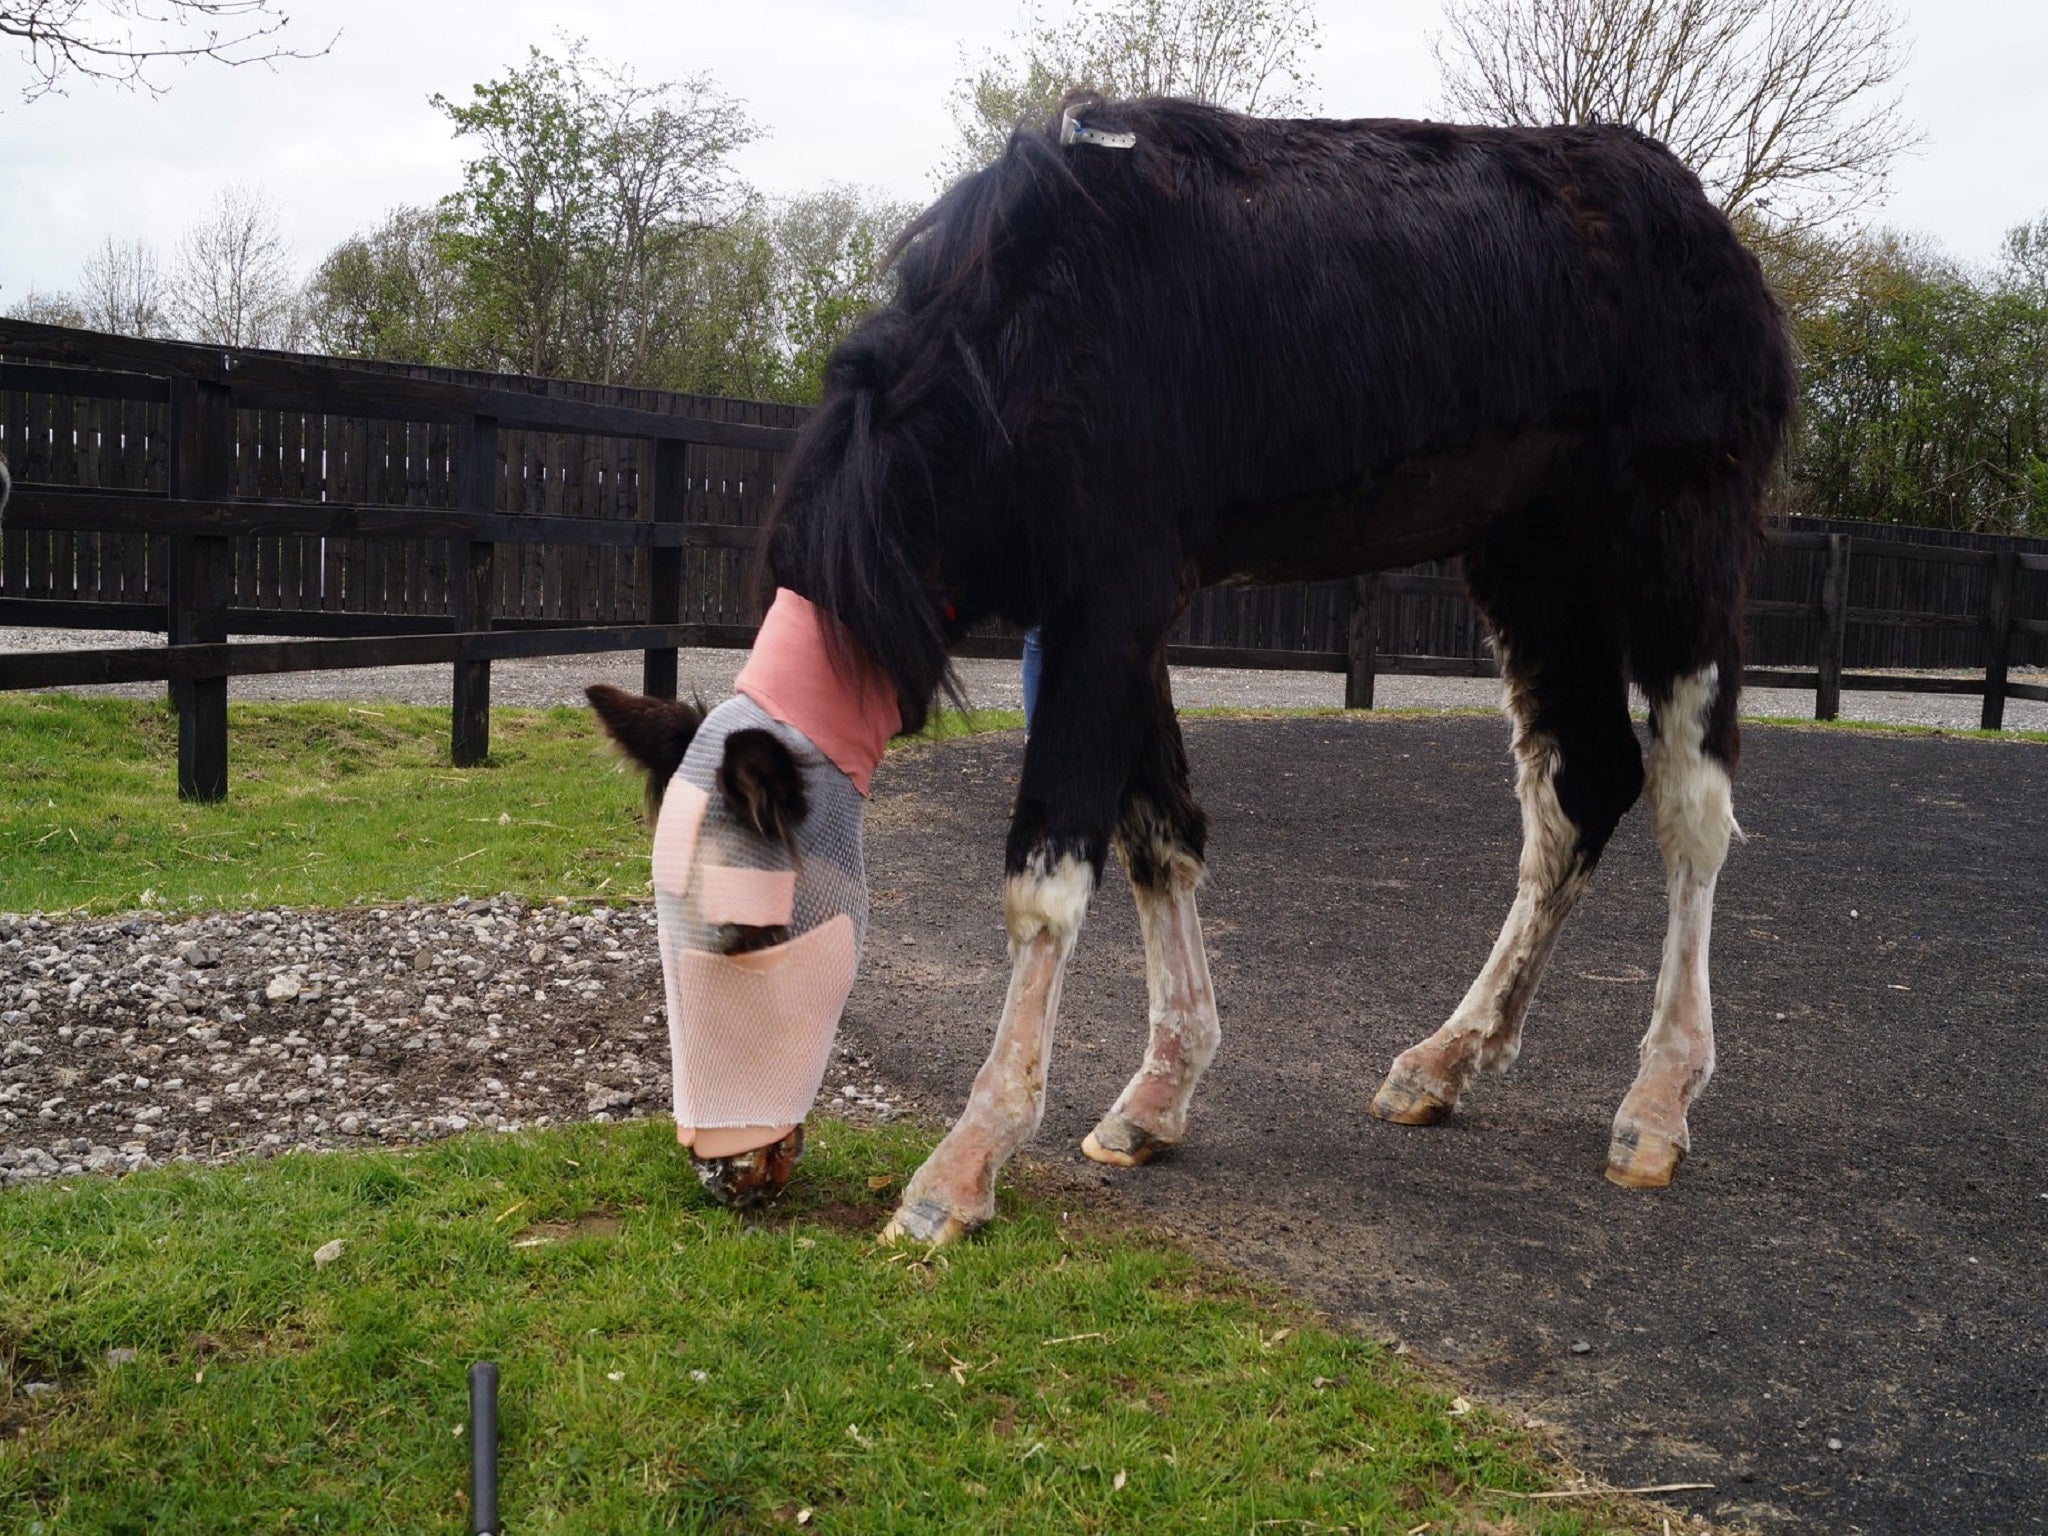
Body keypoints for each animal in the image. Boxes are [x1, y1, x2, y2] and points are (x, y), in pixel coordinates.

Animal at [593, 96, 1794, 1245]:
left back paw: (1656, 1102)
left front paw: (961, 1169)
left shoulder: (1111, 604)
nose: (724, 1168)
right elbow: (1156, 835)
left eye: (748, 933)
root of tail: (1701, 219)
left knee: (1688, 805)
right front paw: (1156, 1097)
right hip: (1532, 555)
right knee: (1579, 789)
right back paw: (1446, 1059)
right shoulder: (1106, 622)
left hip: (1680, 536)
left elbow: (1046, 882)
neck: (1031, 337)